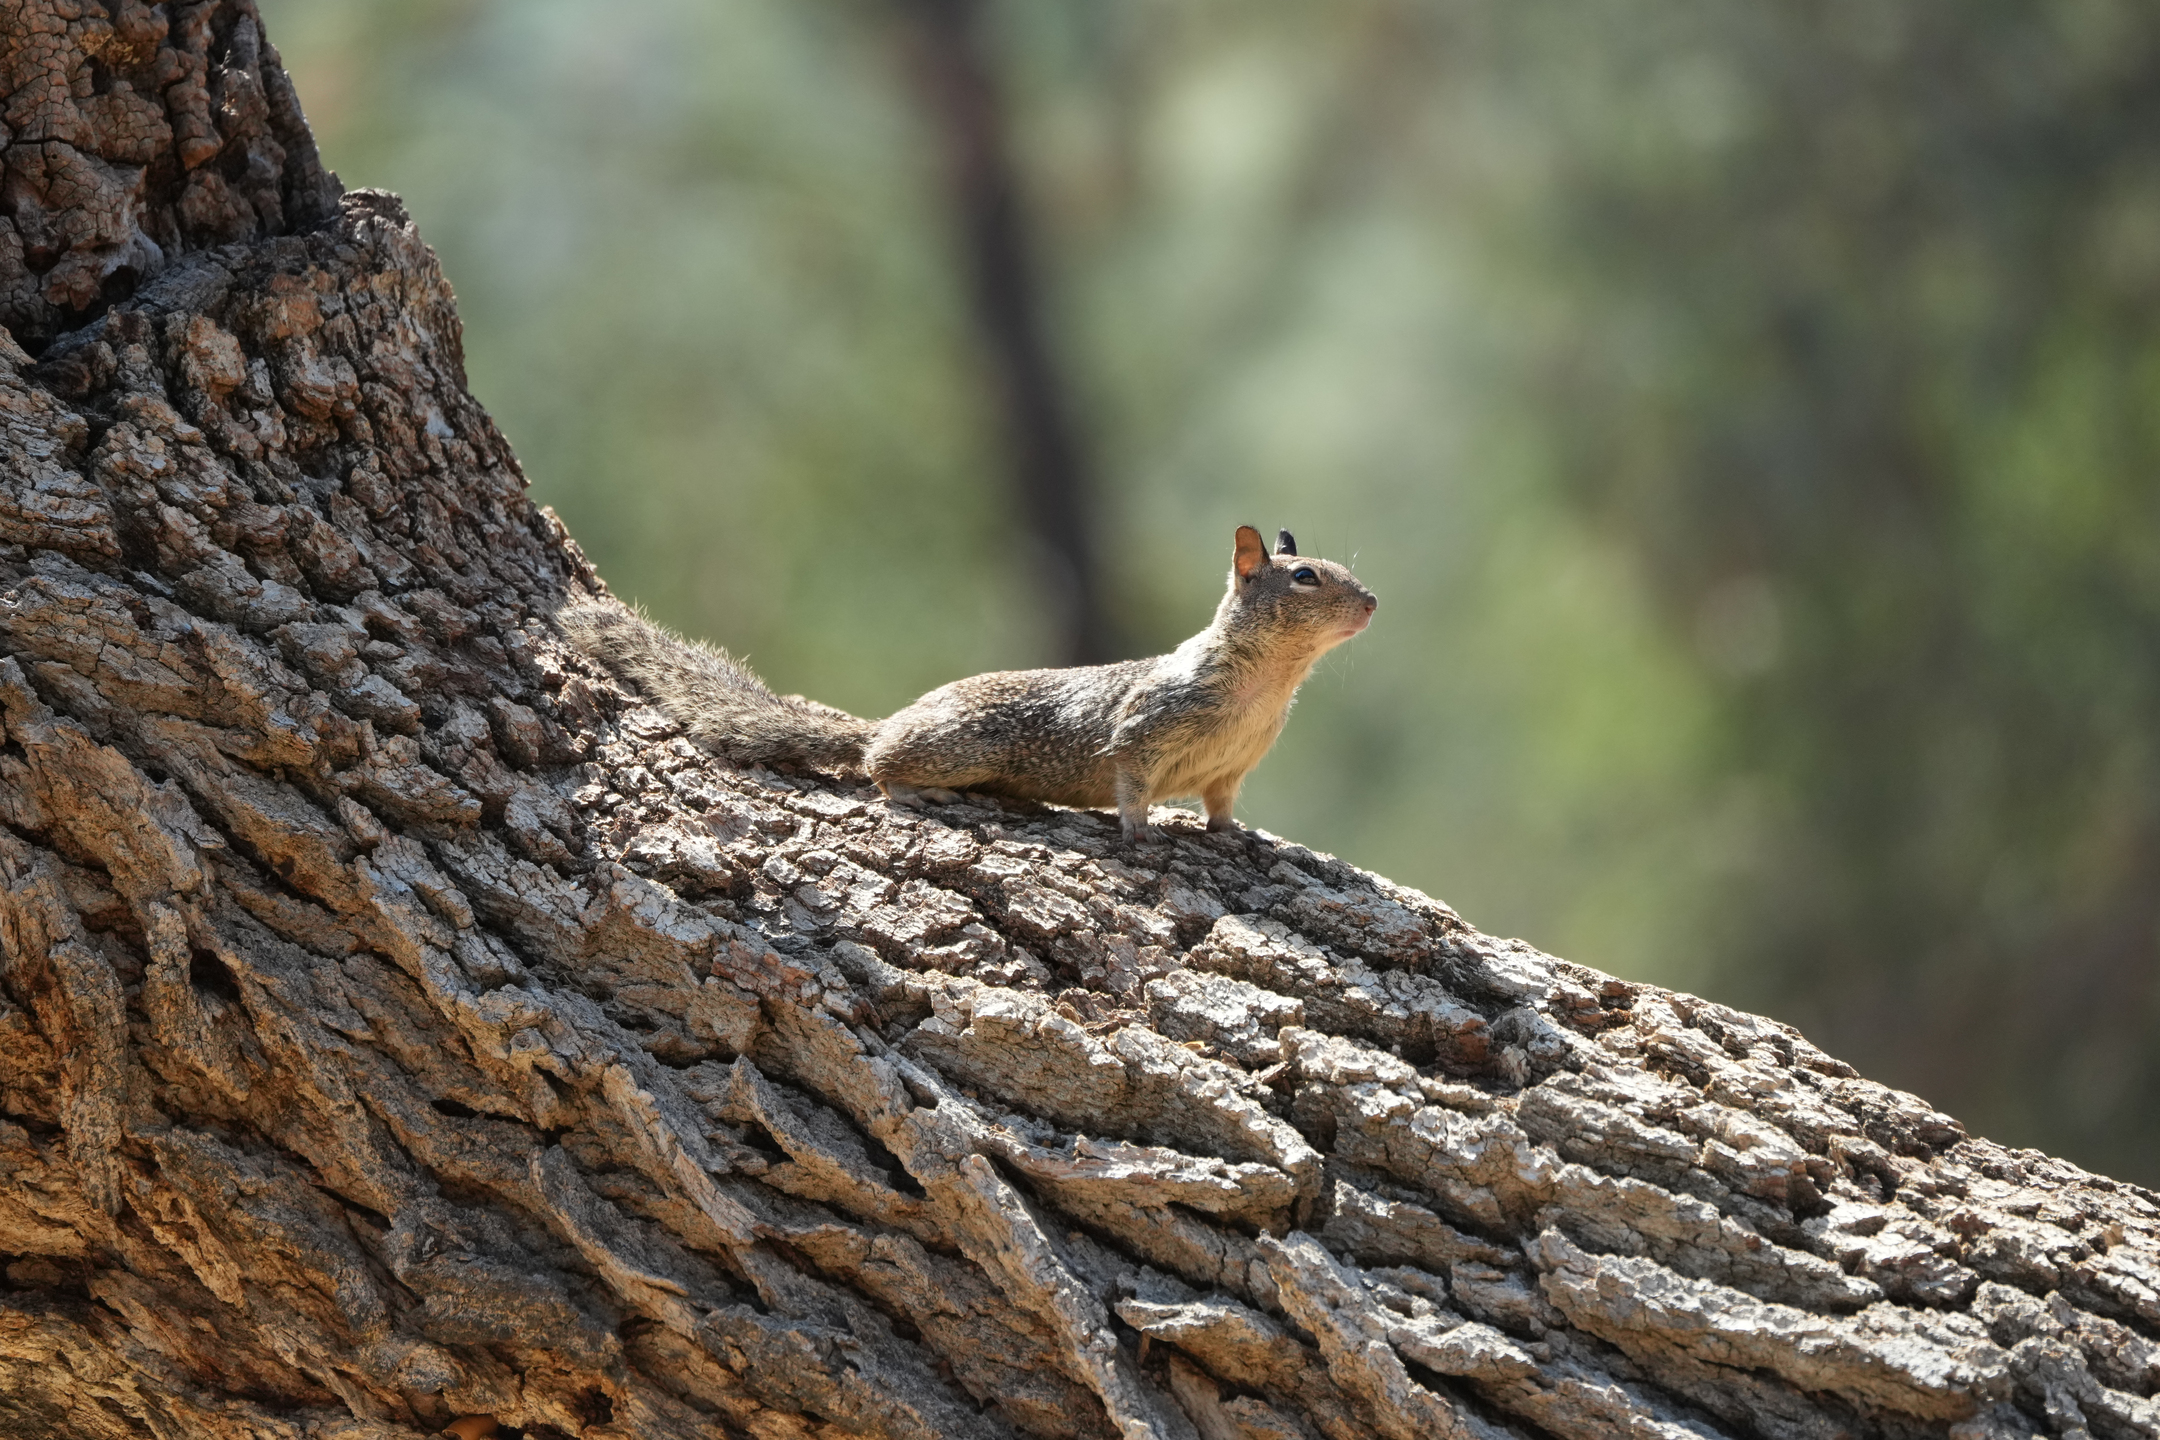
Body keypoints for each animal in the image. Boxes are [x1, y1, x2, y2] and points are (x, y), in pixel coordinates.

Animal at [560, 525, 1376, 841]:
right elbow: (1130, 780)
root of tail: (895, 718)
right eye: (1305, 577)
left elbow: (1221, 804)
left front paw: (1233, 837)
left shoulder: (1235, 764)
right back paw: (917, 788)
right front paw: (1139, 832)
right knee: (876, 764)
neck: (1267, 683)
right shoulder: (1144, 727)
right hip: (956, 747)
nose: (1371, 601)